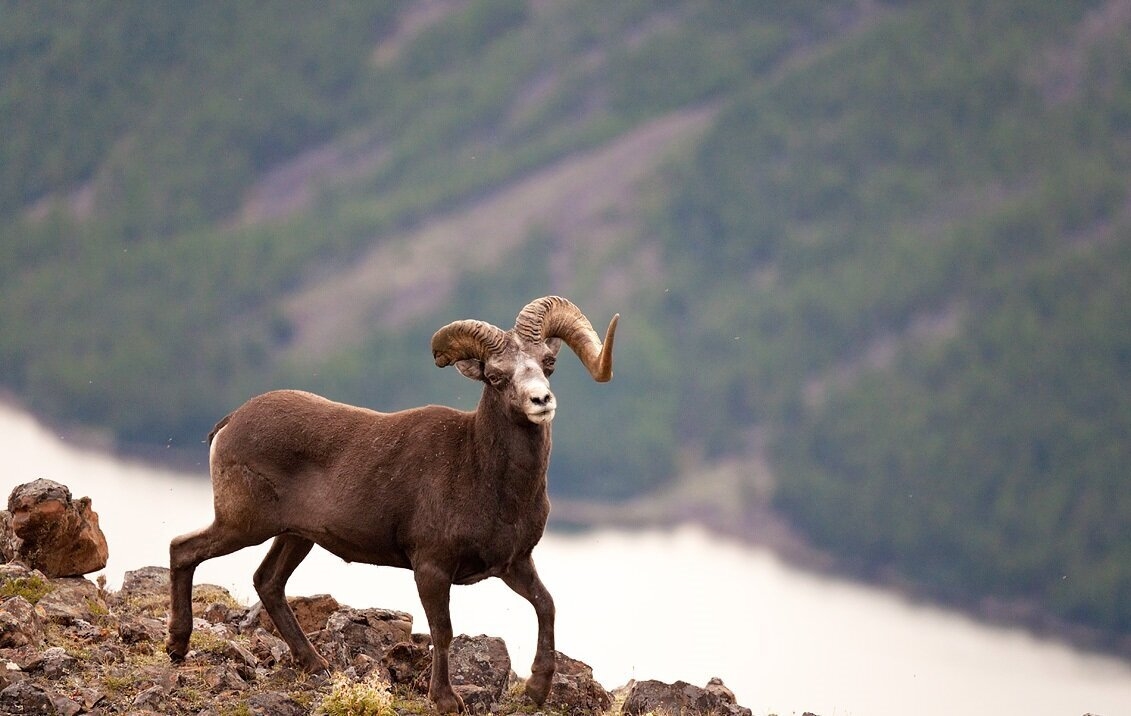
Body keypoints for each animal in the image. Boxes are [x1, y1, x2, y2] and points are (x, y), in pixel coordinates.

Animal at [165, 294, 619, 710]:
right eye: (495, 376)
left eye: (547, 363)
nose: (541, 401)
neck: (486, 478)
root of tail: (229, 423)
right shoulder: (432, 568)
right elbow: (443, 631)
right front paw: (446, 700)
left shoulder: (514, 564)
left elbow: (546, 606)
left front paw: (537, 691)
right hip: (243, 525)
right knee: (184, 550)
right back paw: (177, 646)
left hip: (295, 537)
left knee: (268, 582)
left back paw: (316, 665)